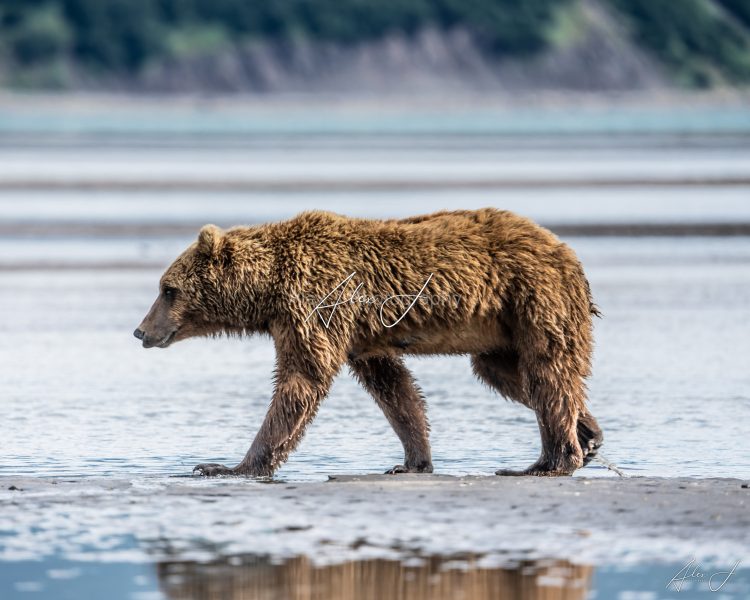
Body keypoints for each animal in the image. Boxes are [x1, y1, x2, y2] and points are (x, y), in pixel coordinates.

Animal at [135, 211, 604, 478]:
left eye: (167, 289)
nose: (141, 331)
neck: (267, 291)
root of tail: (567, 252)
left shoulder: (315, 304)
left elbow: (302, 379)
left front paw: (226, 466)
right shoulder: (361, 335)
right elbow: (394, 388)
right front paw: (412, 461)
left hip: (534, 299)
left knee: (547, 373)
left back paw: (548, 462)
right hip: (505, 329)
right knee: (512, 374)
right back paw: (587, 435)